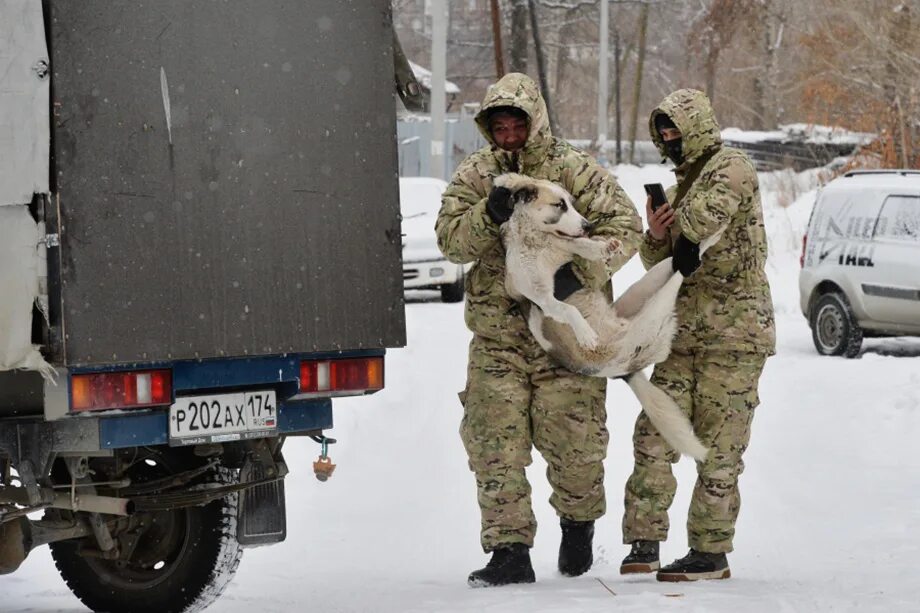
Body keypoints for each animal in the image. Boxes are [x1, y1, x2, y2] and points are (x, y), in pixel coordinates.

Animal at [496, 172, 720, 460]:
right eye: (559, 205)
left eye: (571, 202)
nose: (588, 225)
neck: (538, 240)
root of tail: (623, 372)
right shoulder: (541, 297)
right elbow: (567, 309)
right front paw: (585, 334)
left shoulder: (566, 247)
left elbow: (580, 245)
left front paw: (604, 247)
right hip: (654, 310)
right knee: (681, 268)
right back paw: (706, 242)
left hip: (642, 290)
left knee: (674, 262)